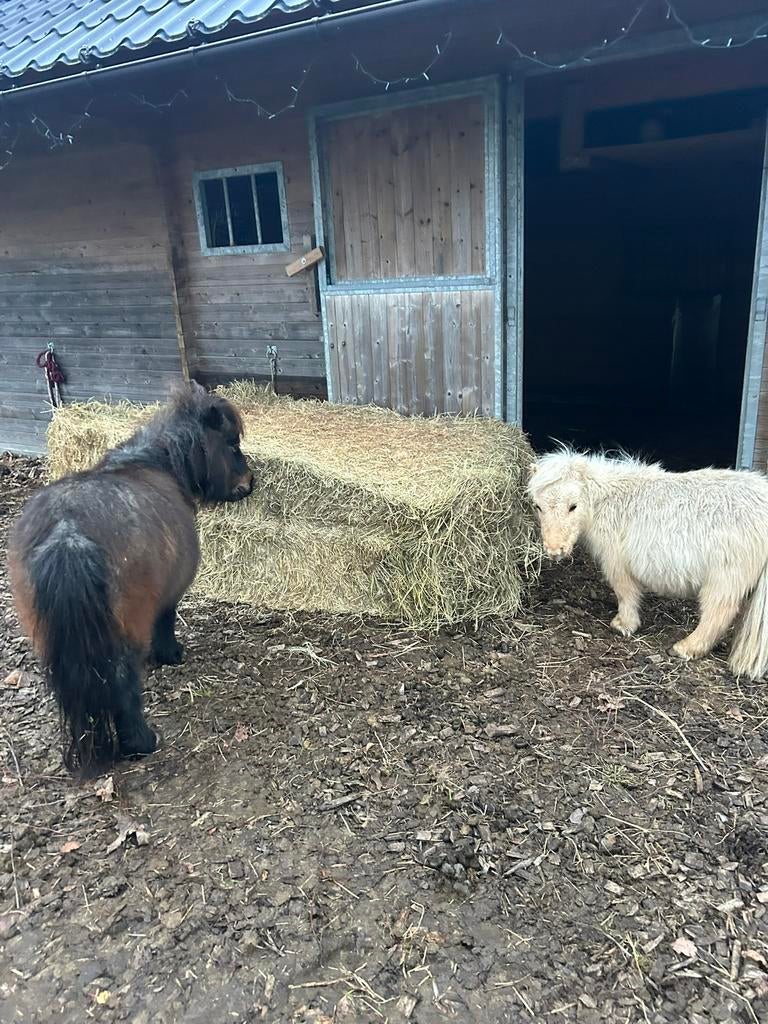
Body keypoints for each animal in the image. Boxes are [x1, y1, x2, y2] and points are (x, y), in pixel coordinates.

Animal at [7, 381, 254, 773]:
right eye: (231, 444)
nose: (250, 481)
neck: (156, 463)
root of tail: (68, 533)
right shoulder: (169, 595)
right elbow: (165, 622)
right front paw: (170, 654)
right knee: (123, 682)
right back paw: (140, 742)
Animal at [527, 447, 768, 681]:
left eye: (573, 506)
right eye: (538, 506)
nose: (554, 551)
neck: (605, 501)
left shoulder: (616, 562)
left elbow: (625, 593)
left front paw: (624, 625)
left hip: (725, 578)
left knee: (718, 613)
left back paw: (685, 648)